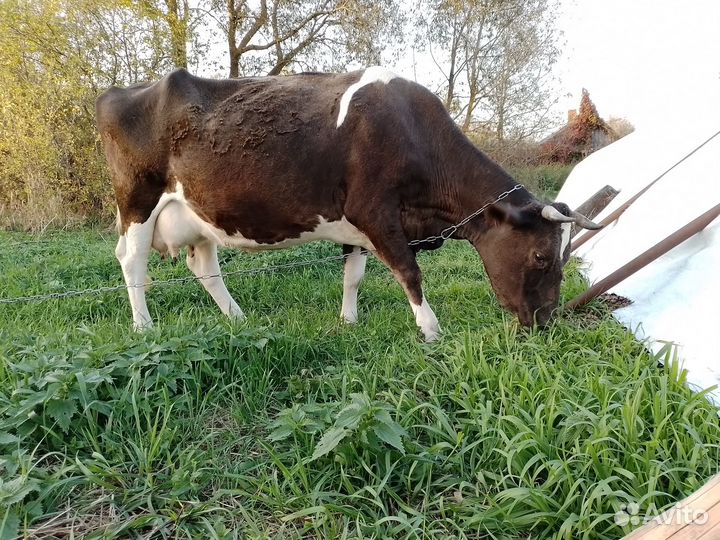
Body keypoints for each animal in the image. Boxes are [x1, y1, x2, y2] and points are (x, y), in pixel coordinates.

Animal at [95, 66, 600, 341]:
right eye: (541, 256)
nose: (545, 321)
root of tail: (119, 91)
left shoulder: (358, 226)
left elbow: (353, 276)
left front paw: (349, 320)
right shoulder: (375, 213)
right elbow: (409, 272)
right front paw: (431, 329)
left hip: (199, 214)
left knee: (204, 267)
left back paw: (237, 317)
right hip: (138, 202)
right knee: (132, 262)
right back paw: (143, 326)